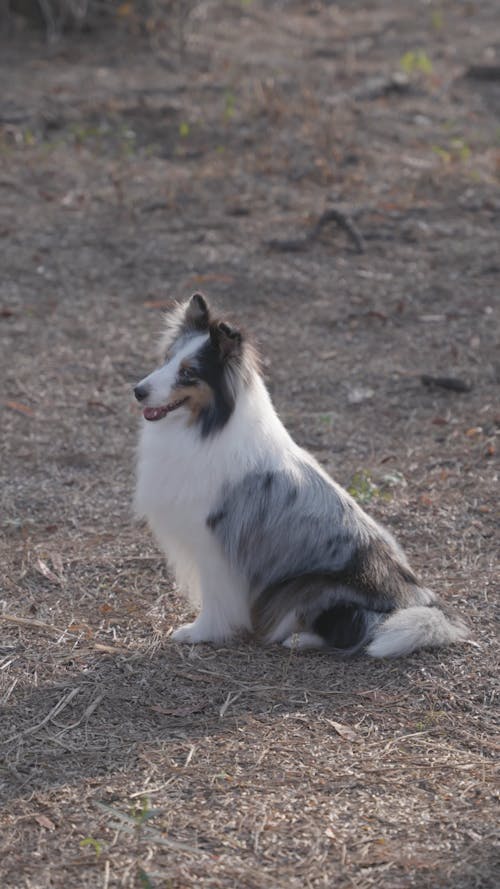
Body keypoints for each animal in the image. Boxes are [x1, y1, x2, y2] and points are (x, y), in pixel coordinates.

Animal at [133, 294, 468, 656]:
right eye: (167, 360)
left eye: (189, 372)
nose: (137, 391)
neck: (207, 426)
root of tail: (419, 602)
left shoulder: (215, 543)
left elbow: (215, 598)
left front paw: (200, 632)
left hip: (312, 588)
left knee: (355, 630)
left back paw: (298, 638)